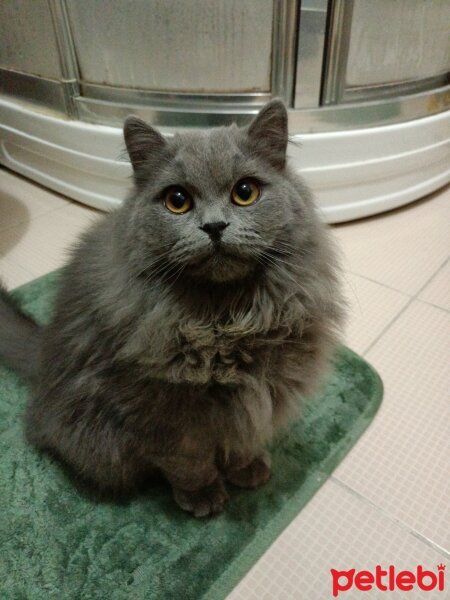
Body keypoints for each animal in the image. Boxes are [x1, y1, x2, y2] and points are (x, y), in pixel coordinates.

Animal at [0, 102, 344, 516]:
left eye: (245, 192)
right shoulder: (161, 414)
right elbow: (188, 462)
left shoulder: (256, 393)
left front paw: (246, 469)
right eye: (177, 201)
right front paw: (203, 496)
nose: (214, 226)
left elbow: (241, 439)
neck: (223, 322)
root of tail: (43, 350)